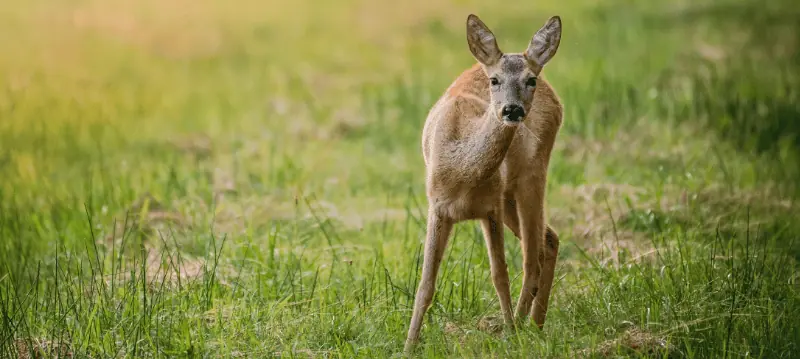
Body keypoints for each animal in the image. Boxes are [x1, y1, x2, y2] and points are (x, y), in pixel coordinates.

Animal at [406, 14, 564, 354]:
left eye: (529, 80)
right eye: (494, 80)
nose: (512, 109)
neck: (461, 171)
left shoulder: (490, 207)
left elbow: (499, 274)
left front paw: (509, 333)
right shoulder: (437, 207)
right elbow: (426, 282)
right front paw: (408, 346)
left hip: (533, 173)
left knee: (532, 259)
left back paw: (521, 328)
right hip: (510, 196)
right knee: (549, 240)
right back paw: (536, 325)